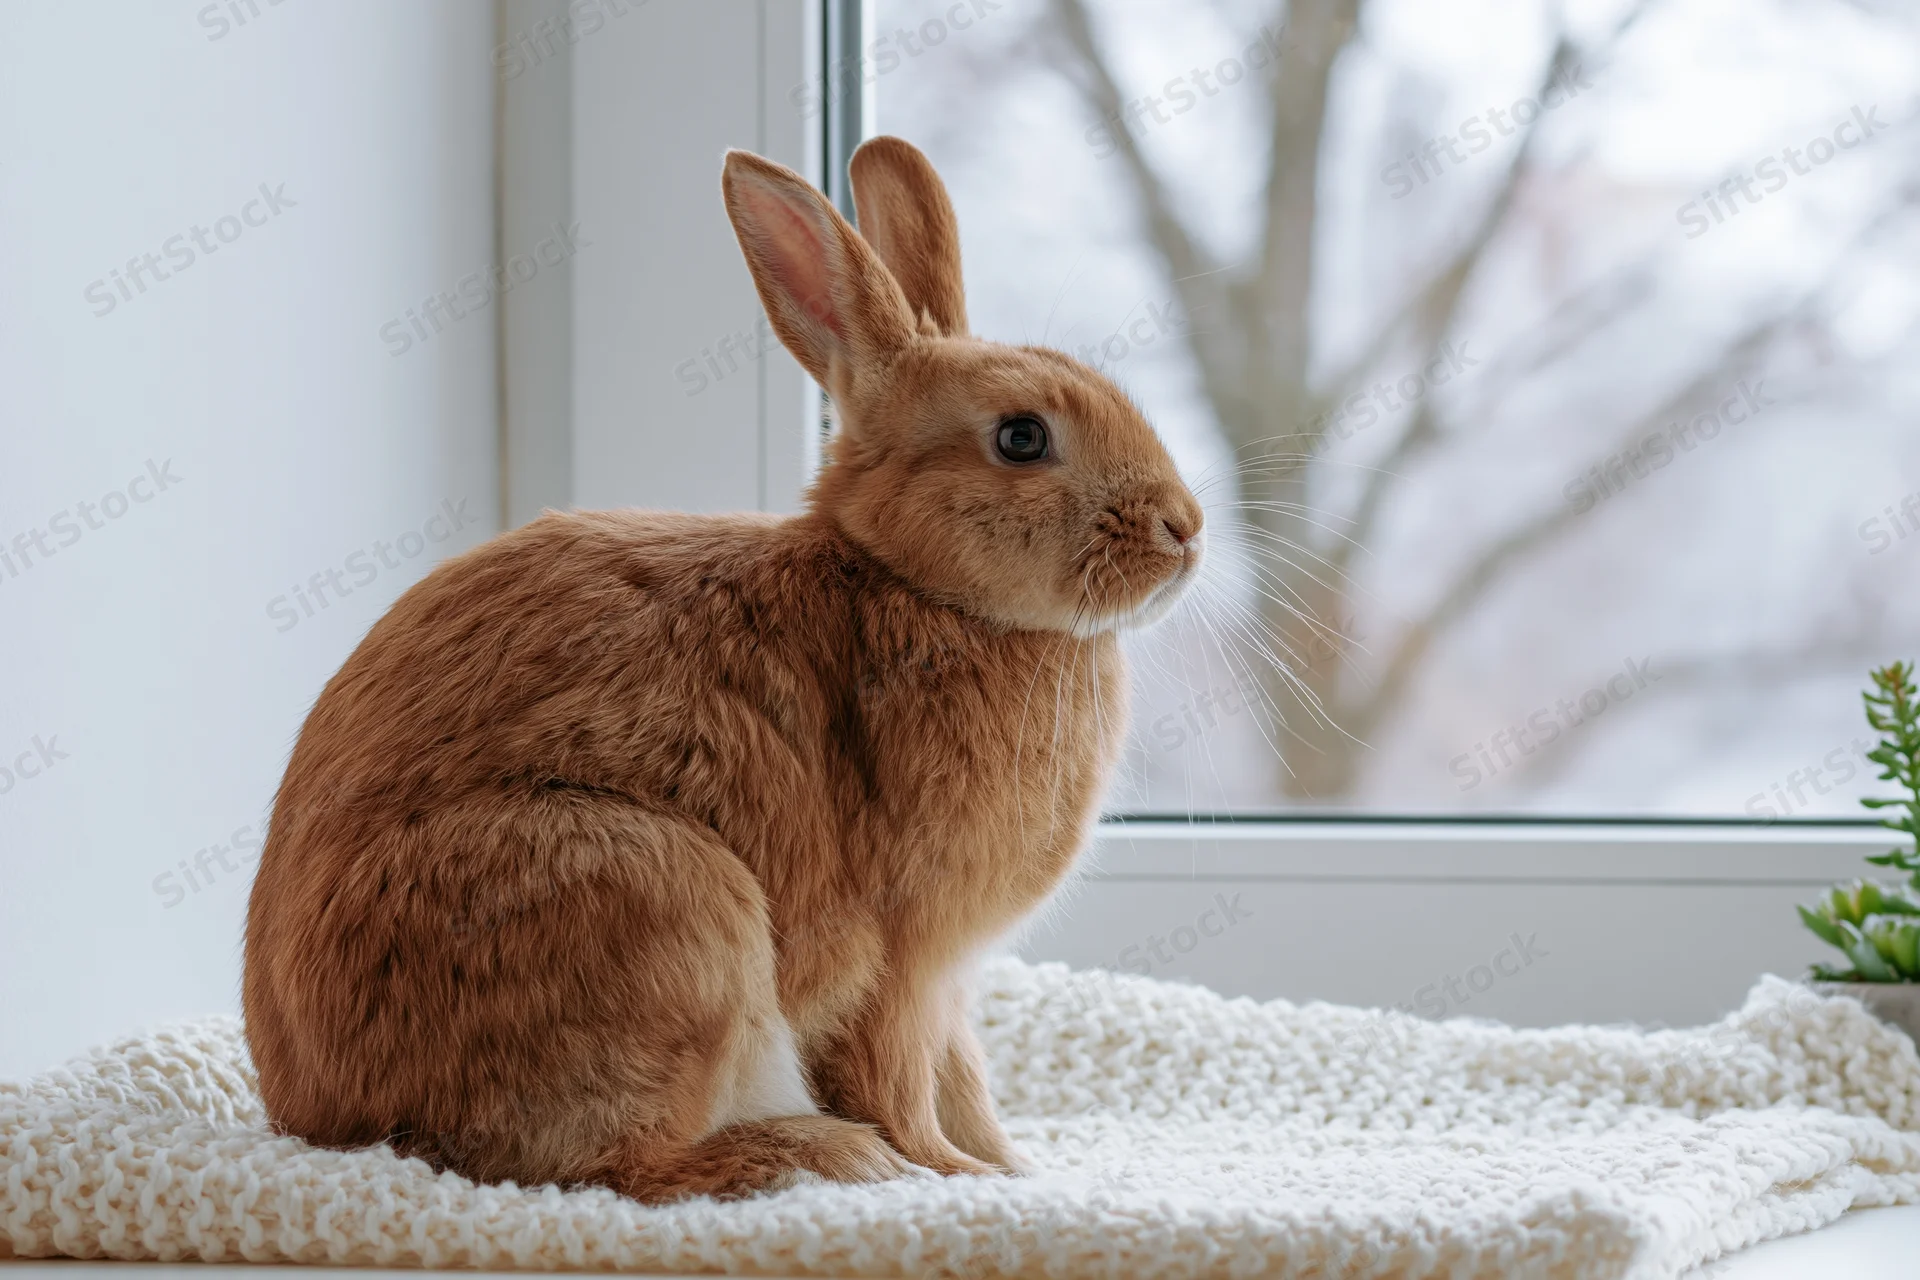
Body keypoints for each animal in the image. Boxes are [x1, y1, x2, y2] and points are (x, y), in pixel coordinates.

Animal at [241, 135, 1204, 1203]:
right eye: (1022, 437)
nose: (1185, 530)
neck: (912, 582)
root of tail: (320, 1113)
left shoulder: (949, 984)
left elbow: (965, 1078)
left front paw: (1010, 1164)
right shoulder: (903, 959)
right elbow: (904, 1078)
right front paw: (952, 1175)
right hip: (664, 906)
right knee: (628, 1166)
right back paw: (824, 1155)